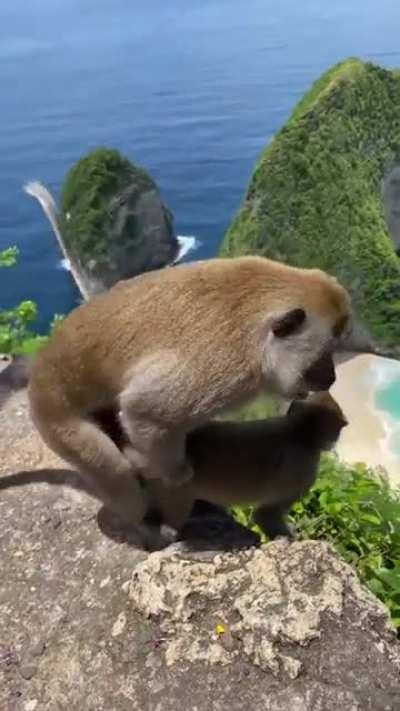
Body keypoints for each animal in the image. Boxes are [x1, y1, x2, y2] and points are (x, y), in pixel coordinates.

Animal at [26, 256, 352, 525]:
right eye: (322, 356)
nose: (332, 377)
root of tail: (41, 370)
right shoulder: (226, 367)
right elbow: (145, 410)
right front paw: (177, 472)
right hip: (57, 423)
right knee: (116, 474)